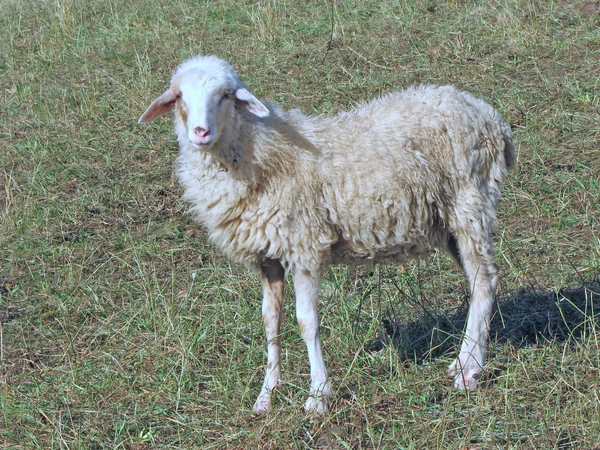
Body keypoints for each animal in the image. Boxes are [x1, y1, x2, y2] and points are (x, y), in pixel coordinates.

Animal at [139, 54, 516, 416]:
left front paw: (318, 395)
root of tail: (490, 115)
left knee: (484, 280)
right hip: (448, 222)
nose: (200, 132)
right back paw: (462, 361)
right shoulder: (268, 256)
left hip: (470, 203)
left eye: (226, 95)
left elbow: (307, 322)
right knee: (477, 281)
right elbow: (270, 321)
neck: (257, 153)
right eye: (179, 97)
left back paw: (471, 370)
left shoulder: (304, 246)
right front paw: (266, 395)